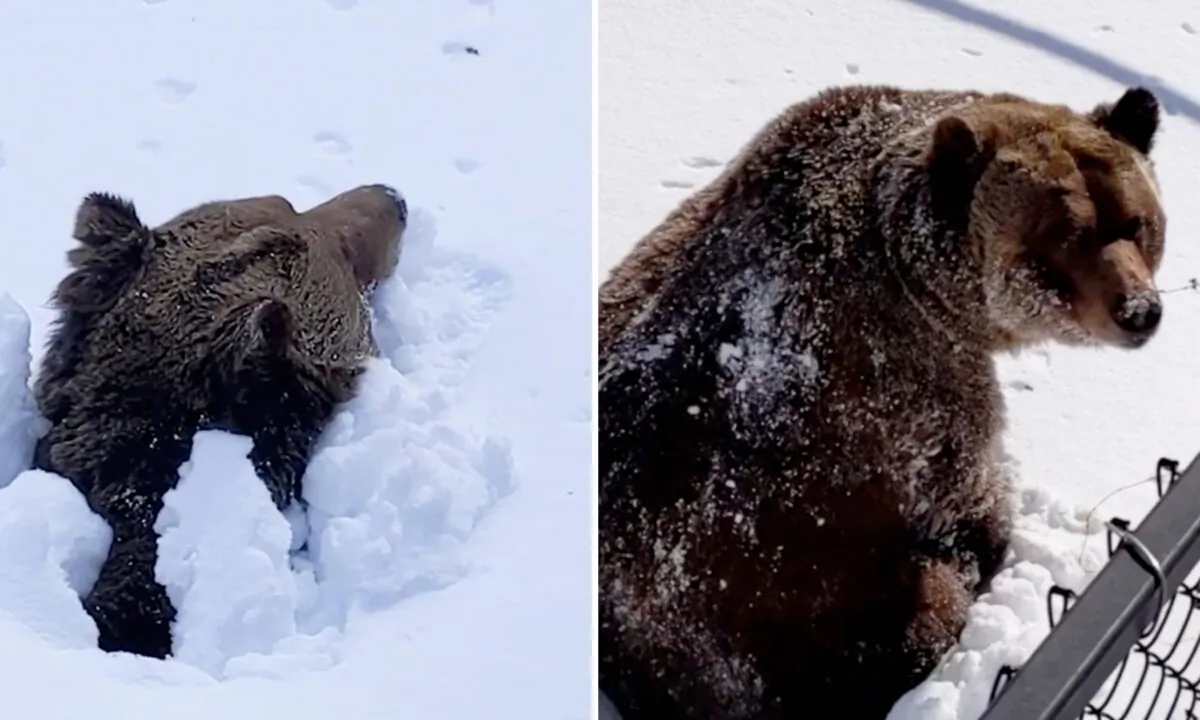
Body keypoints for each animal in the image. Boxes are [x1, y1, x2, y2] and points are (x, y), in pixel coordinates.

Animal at [598, 85, 1166, 720]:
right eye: (1063, 238)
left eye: (1136, 221)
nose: (1138, 310)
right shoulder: (908, 389)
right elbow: (968, 492)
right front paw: (988, 535)